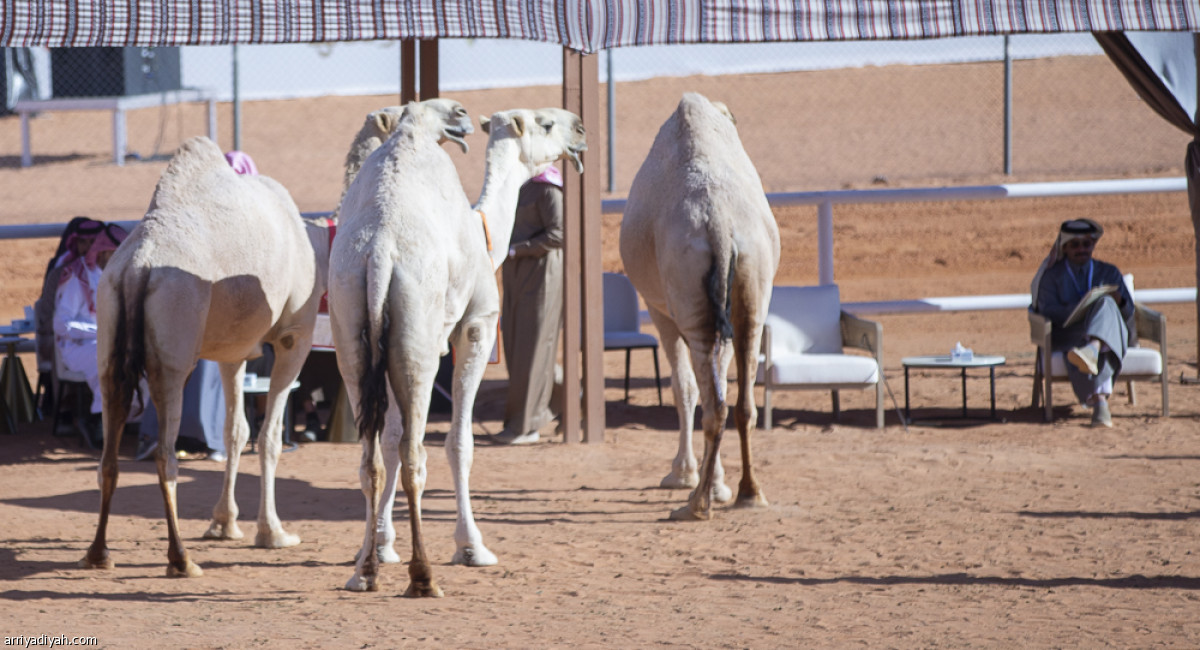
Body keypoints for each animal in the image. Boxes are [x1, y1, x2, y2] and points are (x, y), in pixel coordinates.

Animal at [77, 136, 331, 575]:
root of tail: (138, 266)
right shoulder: (293, 337)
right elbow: (269, 437)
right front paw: (274, 533)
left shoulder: (233, 351)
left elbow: (235, 431)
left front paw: (224, 524)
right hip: (172, 357)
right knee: (165, 454)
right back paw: (181, 559)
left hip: (108, 336)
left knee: (109, 456)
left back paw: (98, 554)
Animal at [328, 104, 585, 599]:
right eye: (544, 123)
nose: (580, 129)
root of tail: (379, 255)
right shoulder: (475, 327)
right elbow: (459, 442)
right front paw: (472, 547)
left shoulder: (382, 349)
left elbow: (389, 439)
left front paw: (382, 544)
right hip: (420, 345)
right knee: (415, 454)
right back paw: (422, 576)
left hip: (351, 332)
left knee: (372, 457)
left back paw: (363, 572)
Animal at [619, 91, 777, 522]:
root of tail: (720, 224)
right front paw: (717, 481)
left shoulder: (661, 310)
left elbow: (683, 387)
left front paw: (682, 473)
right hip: (750, 293)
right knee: (738, 402)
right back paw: (747, 492)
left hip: (688, 299)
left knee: (709, 398)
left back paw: (695, 503)